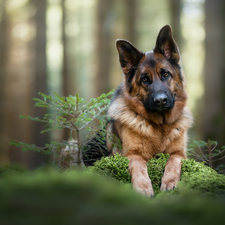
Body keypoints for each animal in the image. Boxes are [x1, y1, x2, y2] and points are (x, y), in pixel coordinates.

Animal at [105, 25, 192, 197]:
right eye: (144, 79)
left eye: (165, 74)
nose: (160, 101)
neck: (160, 126)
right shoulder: (131, 154)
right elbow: (138, 165)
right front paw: (143, 188)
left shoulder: (180, 154)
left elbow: (173, 161)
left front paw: (169, 182)